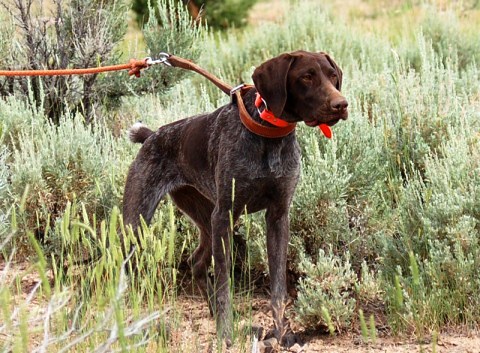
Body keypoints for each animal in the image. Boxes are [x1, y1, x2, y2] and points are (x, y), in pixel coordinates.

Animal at [123, 51, 348, 346]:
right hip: (140, 222)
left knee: (196, 262)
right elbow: (224, 286)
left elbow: (278, 288)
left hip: (207, 219)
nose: (341, 104)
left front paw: (282, 334)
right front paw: (225, 335)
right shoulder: (226, 214)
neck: (269, 134)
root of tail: (152, 136)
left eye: (332, 76)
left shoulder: (278, 216)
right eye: (306, 77)